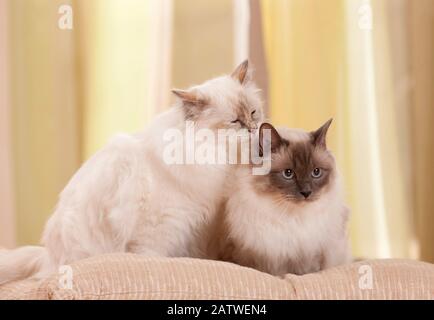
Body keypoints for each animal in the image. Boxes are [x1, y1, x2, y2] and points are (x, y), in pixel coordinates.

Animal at [0, 60, 262, 284]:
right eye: (235, 122)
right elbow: (152, 257)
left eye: (253, 113)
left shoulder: (196, 227)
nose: (253, 128)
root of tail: (47, 259)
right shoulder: (160, 226)